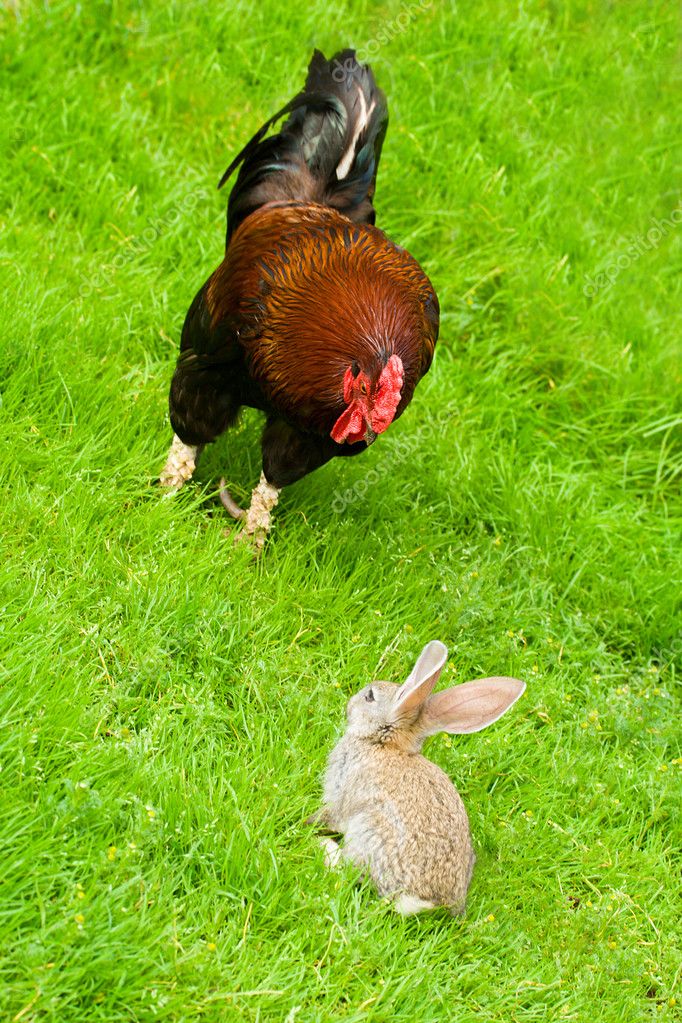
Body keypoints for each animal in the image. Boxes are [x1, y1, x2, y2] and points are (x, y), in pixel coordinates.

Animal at [315, 640, 525, 915]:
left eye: (370, 696)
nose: (349, 704)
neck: (383, 745)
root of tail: (427, 902)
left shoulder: (342, 793)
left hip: (369, 831)